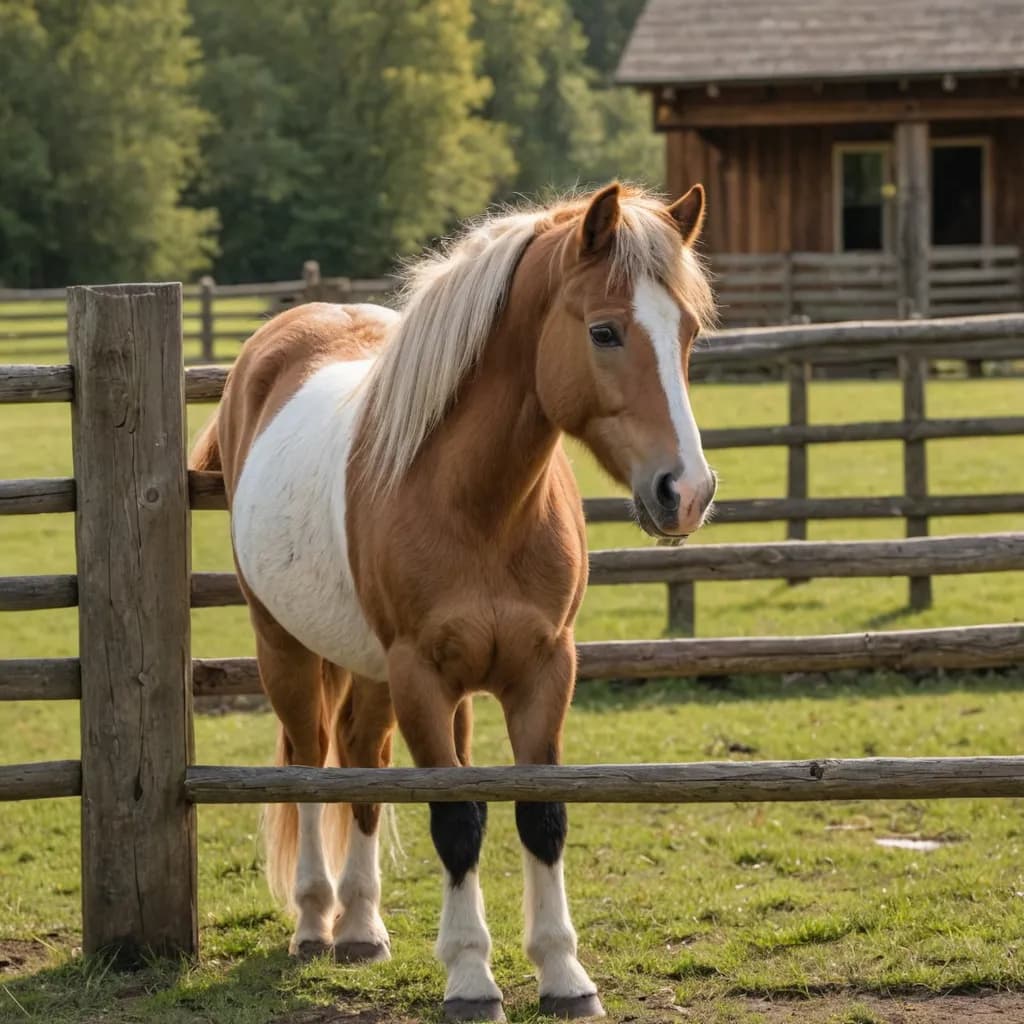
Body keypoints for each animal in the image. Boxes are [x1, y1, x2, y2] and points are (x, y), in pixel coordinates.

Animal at [190, 181, 718, 1021]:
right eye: (604, 331)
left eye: (688, 332)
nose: (687, 492)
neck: (476, 505)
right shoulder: (423, 677)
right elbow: (457, 818)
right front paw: (471, 978)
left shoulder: (543, 671)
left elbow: (540, 816)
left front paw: (564, 975)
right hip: (287, 648)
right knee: (310, 760)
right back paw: (314, 920)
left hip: (370, 669)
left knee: (363, 761)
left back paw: (361, 927)